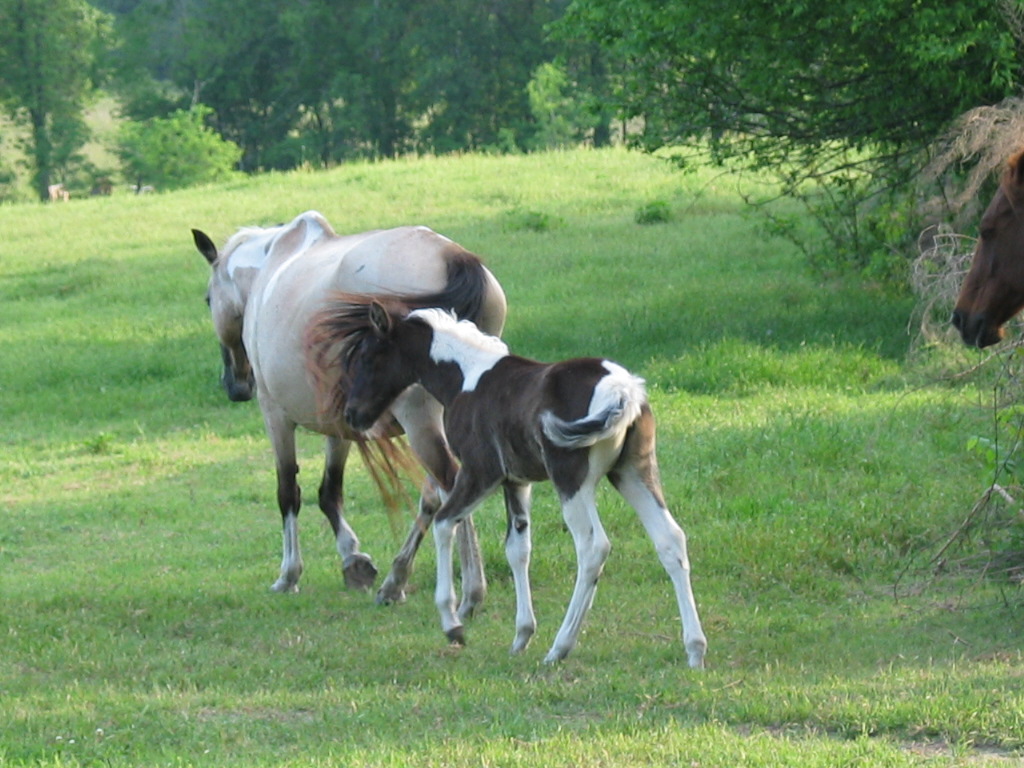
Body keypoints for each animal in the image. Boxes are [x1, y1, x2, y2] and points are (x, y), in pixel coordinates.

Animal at [192, 211, 507, 614]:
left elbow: (287, 490)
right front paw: (354, 560)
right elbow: (330, 491)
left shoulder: (274, 414)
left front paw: (289, 575)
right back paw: (395, 583)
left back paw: (470, 592)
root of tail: (452, 257)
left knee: (449, 485)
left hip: (420, 422)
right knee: (435, 495)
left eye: (207, 299)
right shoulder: (342, 420)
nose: (235, 387)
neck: (273, 265)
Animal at [309, 296, 712, 671]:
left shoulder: (479, 472)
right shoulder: (517, 483)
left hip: (572, 481)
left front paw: (453, 623)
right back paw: (694, 649)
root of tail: (623, 389)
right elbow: (517, 549)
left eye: (368, 357)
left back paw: (560, 647)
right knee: (670, 538)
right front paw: (521, 636)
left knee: (593, 546)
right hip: (633, 473)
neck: (466, 377)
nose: (352, 415)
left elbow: (444, 523)